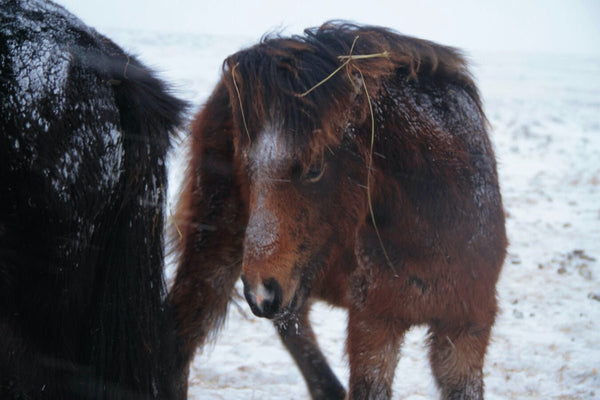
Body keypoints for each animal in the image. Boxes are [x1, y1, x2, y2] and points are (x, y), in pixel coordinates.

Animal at [169, 22, 506, 400]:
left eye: (315, 167)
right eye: (246, 167)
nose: (260, 292)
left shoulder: (465, 332)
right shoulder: (373, 328)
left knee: (291, 321)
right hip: (215, 249)